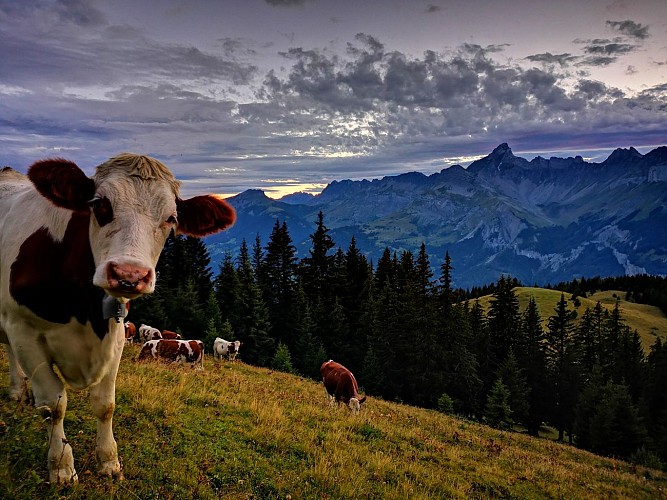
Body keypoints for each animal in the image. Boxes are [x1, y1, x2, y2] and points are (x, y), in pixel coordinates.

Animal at [0, 153, 237, 484]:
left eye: (171, 218)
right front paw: (61, 467)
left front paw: (109, 462)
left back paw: (16, 391)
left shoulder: (116, 335)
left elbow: (105, 404)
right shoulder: (25, 332)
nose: (129, 274)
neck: (83, 312)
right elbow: (53, 404)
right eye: (99, 204)